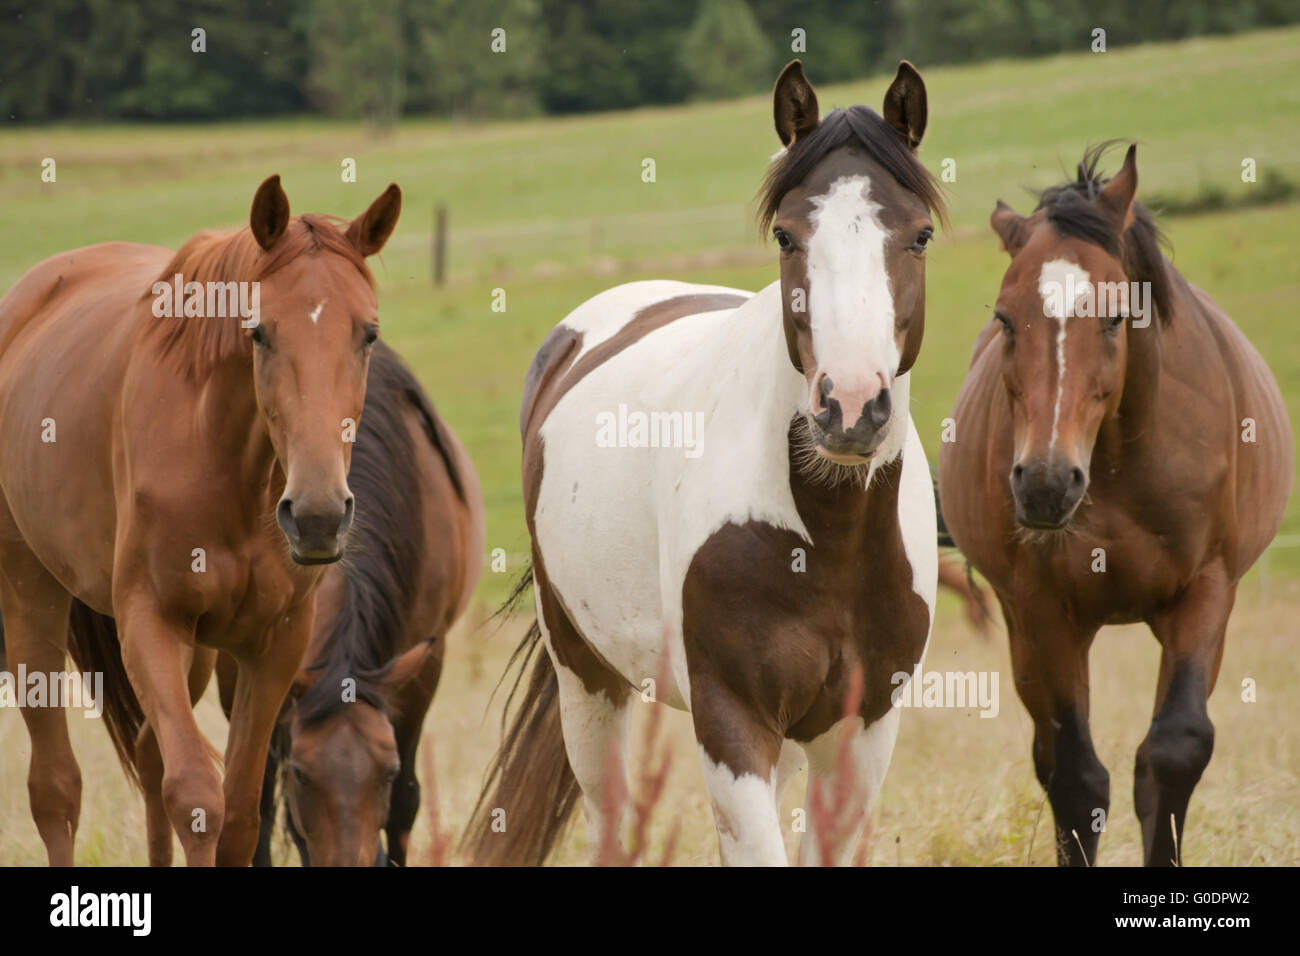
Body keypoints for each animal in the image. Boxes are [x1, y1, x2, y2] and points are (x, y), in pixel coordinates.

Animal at [0, 174, 400, 868]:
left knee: (147, 755)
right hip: (31, 597)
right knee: (56, 789)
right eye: (259, 332)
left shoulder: (274, 644)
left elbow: (237, 814)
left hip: (198, 654)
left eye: (368, 334)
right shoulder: (152, 623)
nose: (318, 515)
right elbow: (196, 798)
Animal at [465, 59, 946, 868]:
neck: (829, 536)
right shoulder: (731, 720)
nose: (850, 405)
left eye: (920, 236)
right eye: (787, 236)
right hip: (586, 680)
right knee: (608, 818)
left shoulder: (864, 730)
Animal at [935, 141, 1289, 868]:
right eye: (1005, 318)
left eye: (1115, 315)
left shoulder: (1207, 591)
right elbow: (1075, 776)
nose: (1045, 483)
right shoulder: (1043, 610)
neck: (1123, 462)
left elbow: (1174, 749)